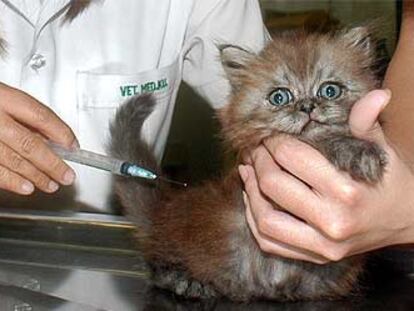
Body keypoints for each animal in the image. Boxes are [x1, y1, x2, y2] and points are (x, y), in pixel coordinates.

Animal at [108, 26, 386, 302]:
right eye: (280, 97)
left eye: (329, 91)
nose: (307, 106)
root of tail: (163, 208)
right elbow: (322, 141)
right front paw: (361, 153)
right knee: (155, 266)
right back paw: (186, 282)